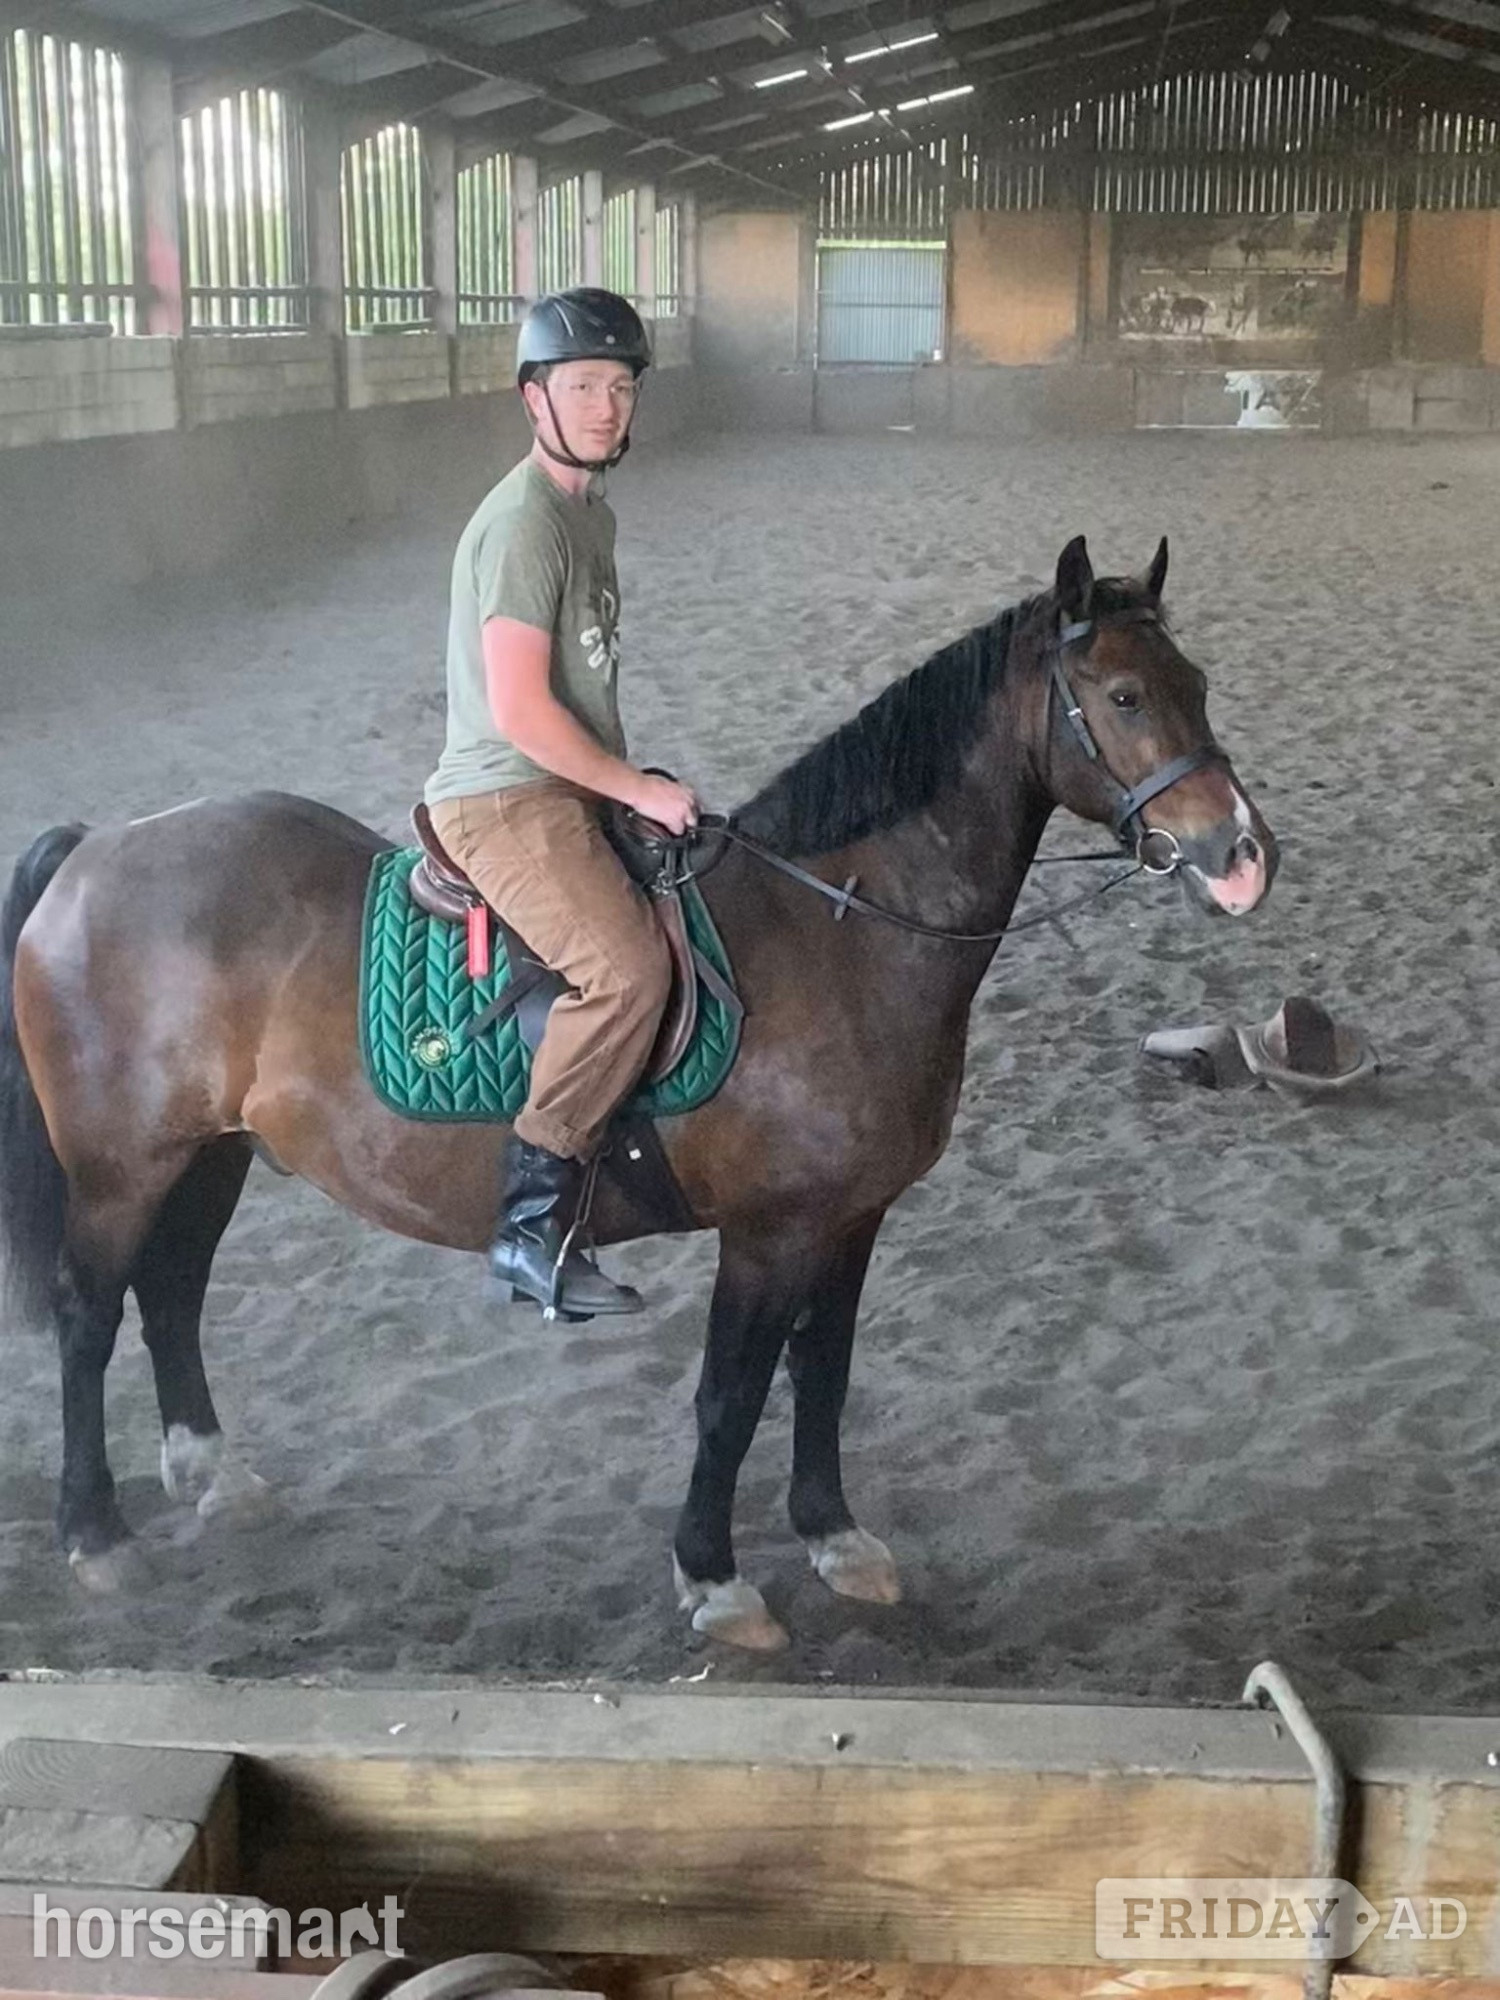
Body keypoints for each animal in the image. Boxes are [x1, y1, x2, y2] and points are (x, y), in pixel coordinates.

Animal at [0, 534, 1277, 1653]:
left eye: (1200, 682)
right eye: (1121, 695)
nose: (1243, 855)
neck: (840, 927)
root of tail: (97, 848)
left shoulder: (851, 1219)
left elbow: (824, 1372)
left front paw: (834, 1536)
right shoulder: (768, 1233)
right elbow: (728, 1394)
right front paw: (713, 1578)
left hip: (208, 1152)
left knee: (172, 1293)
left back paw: (215, 1476)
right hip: (121, 1169)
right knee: (89, 1311)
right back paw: (96, 1533)